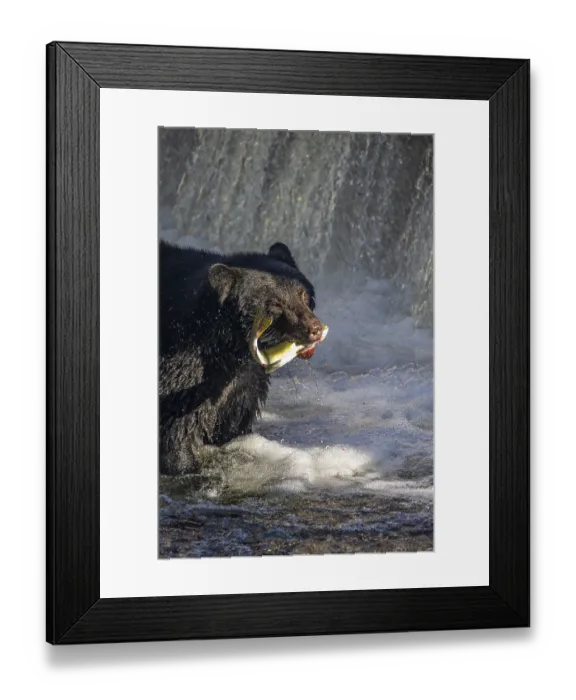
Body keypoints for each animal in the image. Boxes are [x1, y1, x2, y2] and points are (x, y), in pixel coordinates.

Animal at [159, 239, 327, 475]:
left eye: (304, 295)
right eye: (275, 304)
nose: (315, 329)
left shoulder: (244, 382)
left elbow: (234, 421)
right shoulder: (181, 371)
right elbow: (176, 430)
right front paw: (184, 463)